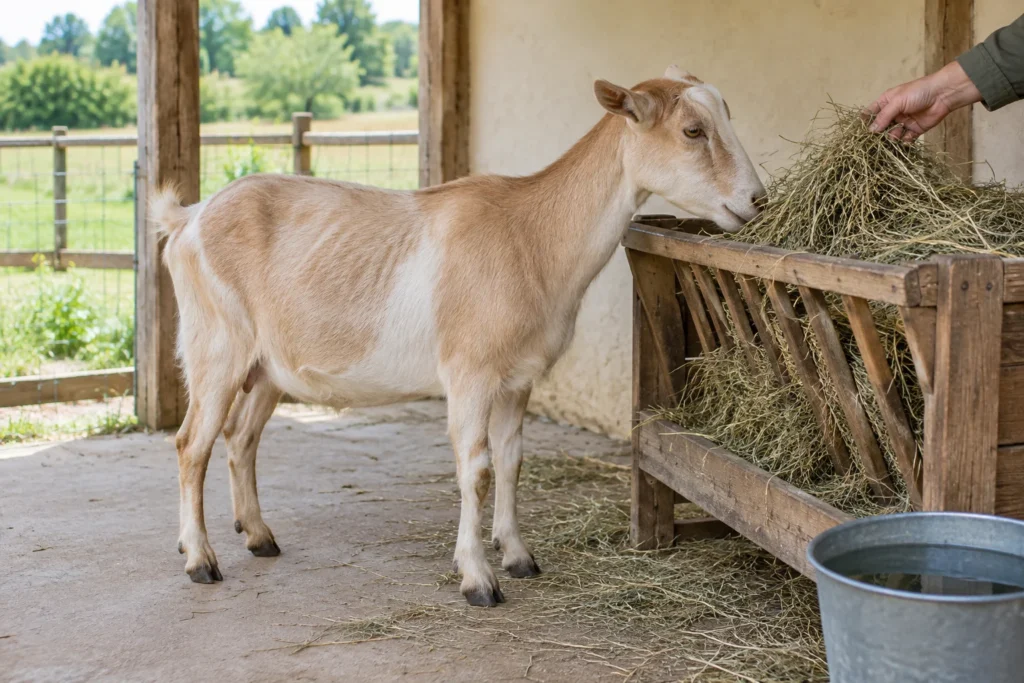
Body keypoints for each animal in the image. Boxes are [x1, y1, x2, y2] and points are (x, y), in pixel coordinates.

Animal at [153, 66, 765, 607]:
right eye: (692, 130)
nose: (757, 200)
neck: (531, 236)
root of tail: (187, 219)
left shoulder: (519, 377)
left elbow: (513, 460)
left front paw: (518, 556)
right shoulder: (469, 372)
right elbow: (478, 469)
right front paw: (478, 579)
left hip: (267, 367)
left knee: (240, 438)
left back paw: (259, 537)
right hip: (216, 349)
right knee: (191, 444)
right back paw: (201, 560)